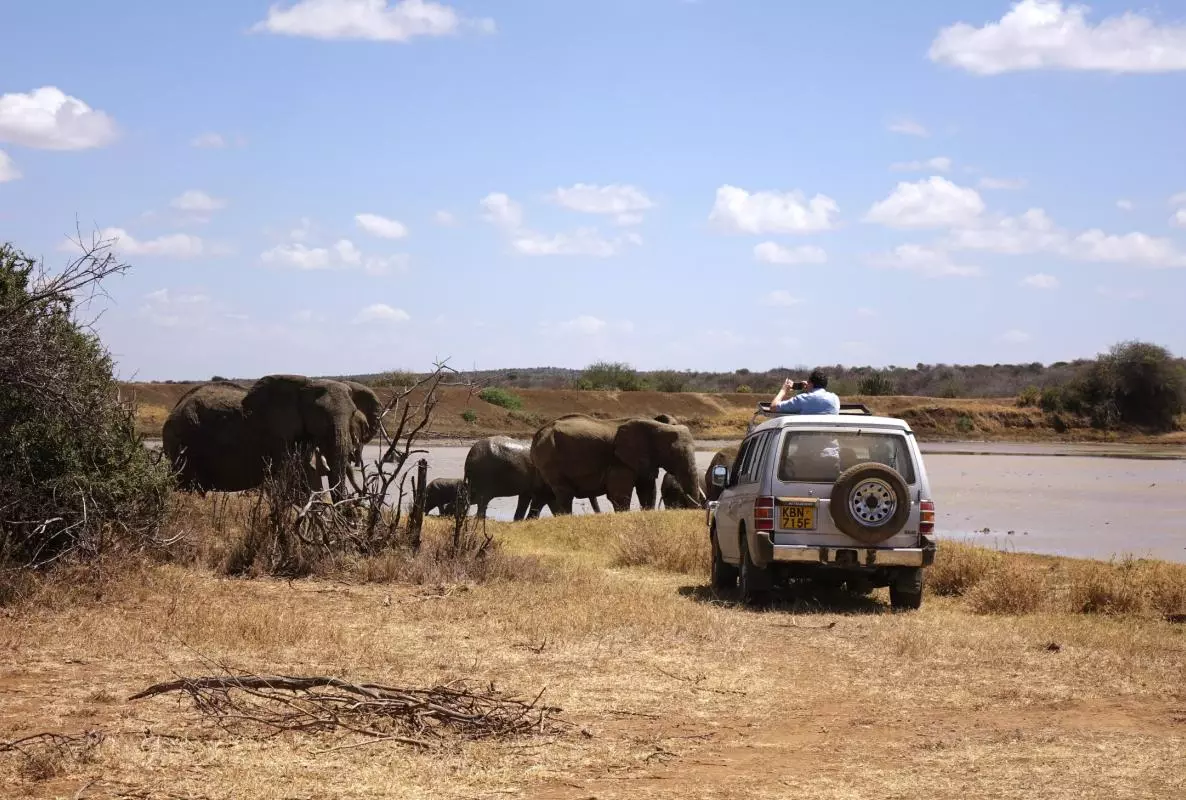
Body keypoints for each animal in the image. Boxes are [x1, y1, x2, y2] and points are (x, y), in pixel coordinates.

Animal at [530, 414, 704, 515]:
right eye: (672, 453)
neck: (657, 425)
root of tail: (537, 434)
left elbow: (647, 490)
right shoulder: (620, 460)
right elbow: (620, 493)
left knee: (545, 494)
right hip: (550, 458)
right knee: (564, 493)